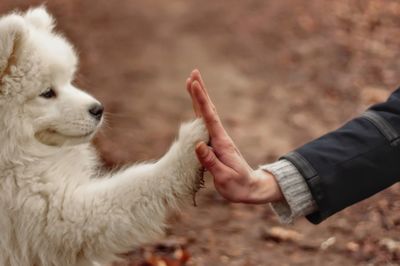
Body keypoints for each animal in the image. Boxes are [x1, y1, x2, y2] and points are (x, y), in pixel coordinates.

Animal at [0, 6, 208, 266]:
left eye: (69, 81)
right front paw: (189, 146)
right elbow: (136, 183)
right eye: (47, 92)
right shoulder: (56, 215)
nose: (98, 109)